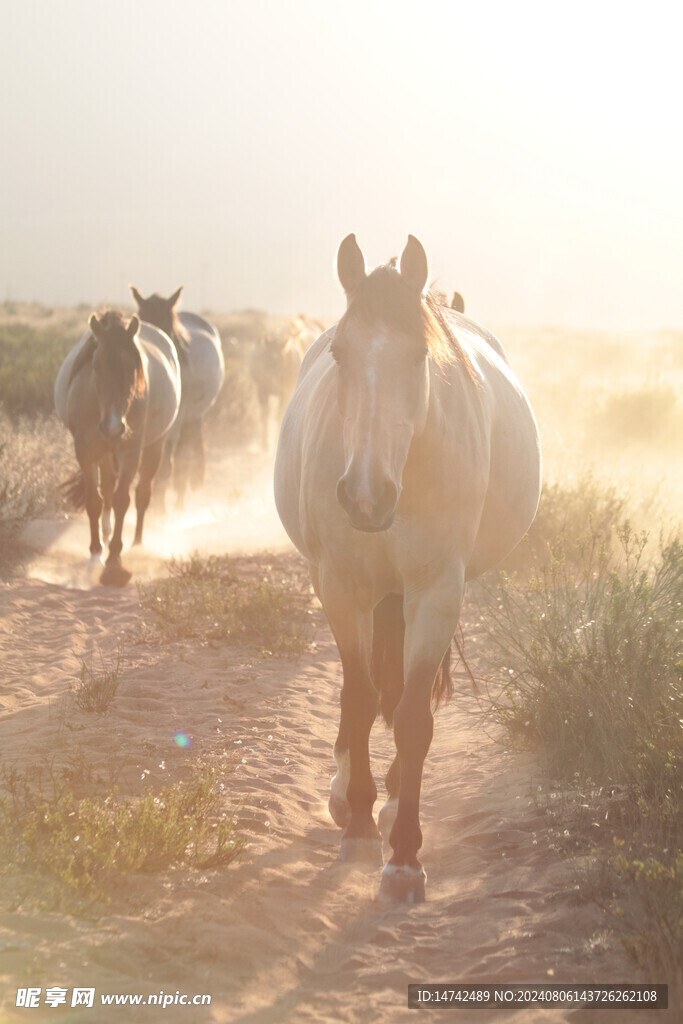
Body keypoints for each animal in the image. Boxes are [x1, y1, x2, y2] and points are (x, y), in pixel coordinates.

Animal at [54, 311, 181, 586]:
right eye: (96, 366)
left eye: (132, 367)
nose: (114, 427)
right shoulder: (85, 451)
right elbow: (95, 500)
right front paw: (95, 551)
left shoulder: (130, 452)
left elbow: (123, 499)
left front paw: (114, 557)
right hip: (105, 452)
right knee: (106, 489)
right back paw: (105, 533)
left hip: (155, 446)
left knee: (142, 493)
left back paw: (137, 544)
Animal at [130, 287, 225, 507]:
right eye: (141, 324)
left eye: (166, 331)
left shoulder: (174, 422)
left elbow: (165, 464)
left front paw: (159, 507)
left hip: (193, 416)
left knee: (184, 456)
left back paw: (179, 503)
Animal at [274, 235, 541, 902]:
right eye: (341, 354)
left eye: (419, 356)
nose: (366, 496)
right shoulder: (342, 588)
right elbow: (358, 698)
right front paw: (359, 823)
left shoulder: (435, 592)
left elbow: (413, 716)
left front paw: (403, 856)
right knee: (373, 689)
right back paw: (351, 795)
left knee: (397, 693)